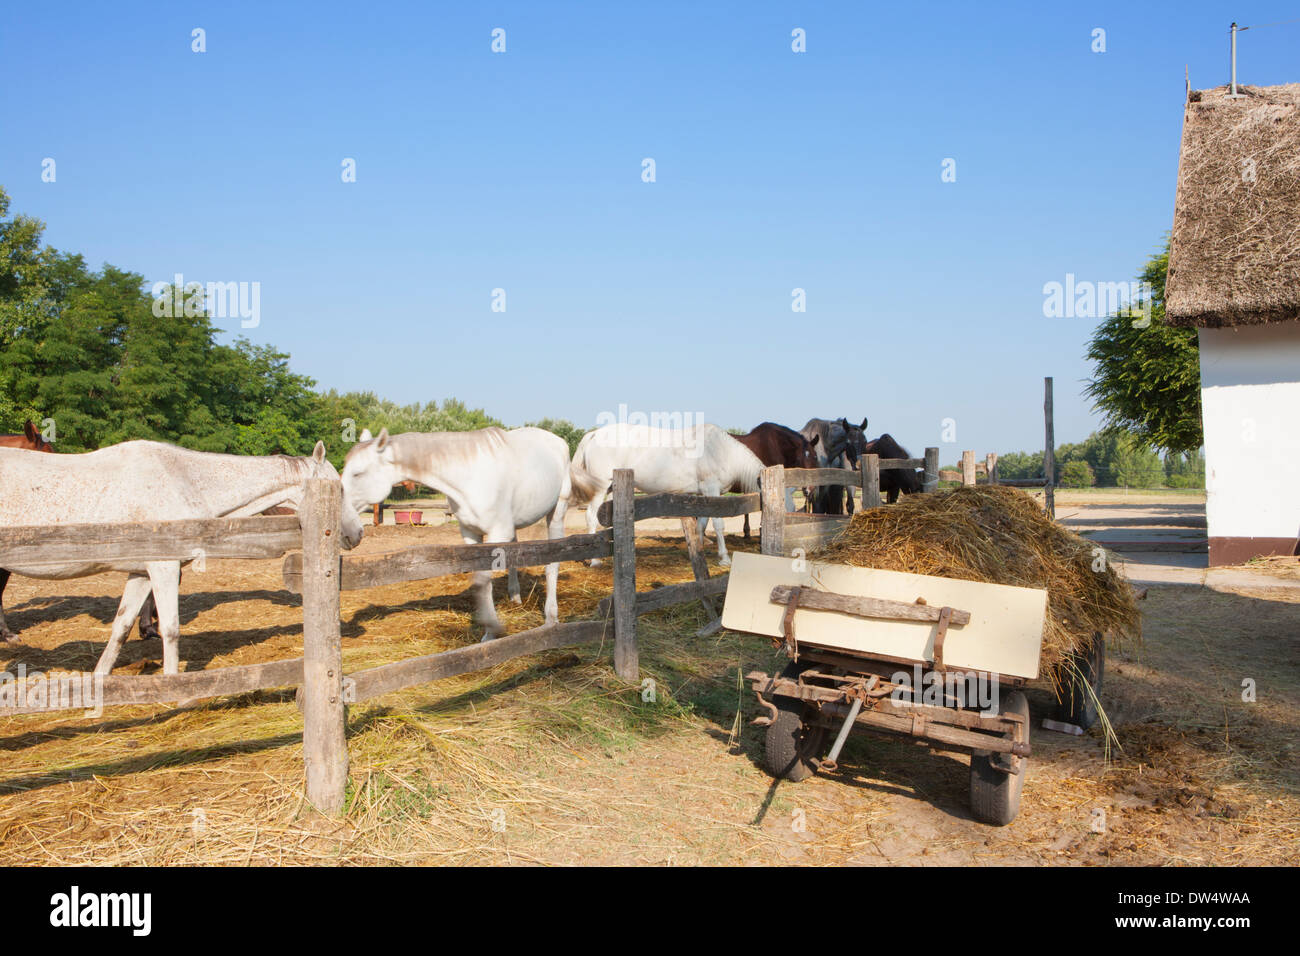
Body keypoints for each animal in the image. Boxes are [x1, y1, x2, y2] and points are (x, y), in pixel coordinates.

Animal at [0, 442, 361, 676]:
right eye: (338, 489)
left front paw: (100, 679)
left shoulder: (141, 572)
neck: (183, 479)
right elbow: (171, 629)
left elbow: (121, 626)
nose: (357, 533)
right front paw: (173, 689)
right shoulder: (164, 568)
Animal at [340, 429, 569, 642]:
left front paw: (492, 628)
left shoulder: (498, 531)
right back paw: (515, 597)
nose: (347, 533)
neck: (467, 477)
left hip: (556, 513)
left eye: (358, 474)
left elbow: (483, 579)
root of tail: (558, 441)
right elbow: (481, 581)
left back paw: (551, 616)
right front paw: (488, 634)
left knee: (553, 563)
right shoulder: (471, 533)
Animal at [569, 421, 759, 564]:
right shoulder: (712, 491)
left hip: (611, 488)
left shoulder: (704, 495)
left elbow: (701, 524)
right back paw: (595, 561)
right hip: (600, 488)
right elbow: (718, 525)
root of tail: (594, 435)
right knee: (591, 517)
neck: (721, 451)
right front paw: (725, 558)